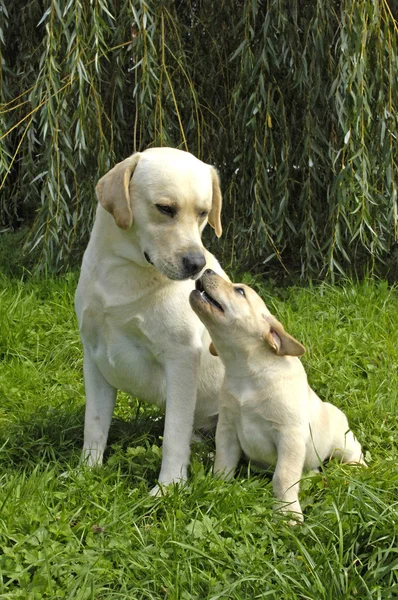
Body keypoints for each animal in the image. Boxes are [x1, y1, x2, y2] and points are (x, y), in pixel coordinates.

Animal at [76, 146, 229, 492]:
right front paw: (86, 472)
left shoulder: (181, 359)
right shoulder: (93, 358)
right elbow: (94, 424)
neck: (125, 272)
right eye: (165, 208)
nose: (197, 264)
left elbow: (174, 434)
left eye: (203, 213)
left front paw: (169, 487)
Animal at [190, 270, 366, 524]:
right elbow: (223, 462)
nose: (206, 270)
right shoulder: (227, 429)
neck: (246, 372)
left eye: (240, 291)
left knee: (355, 453)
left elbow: (283, 476)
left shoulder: (289, 435)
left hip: (342, 442)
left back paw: (356, 468)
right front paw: (217, 487)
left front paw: (287, 513)